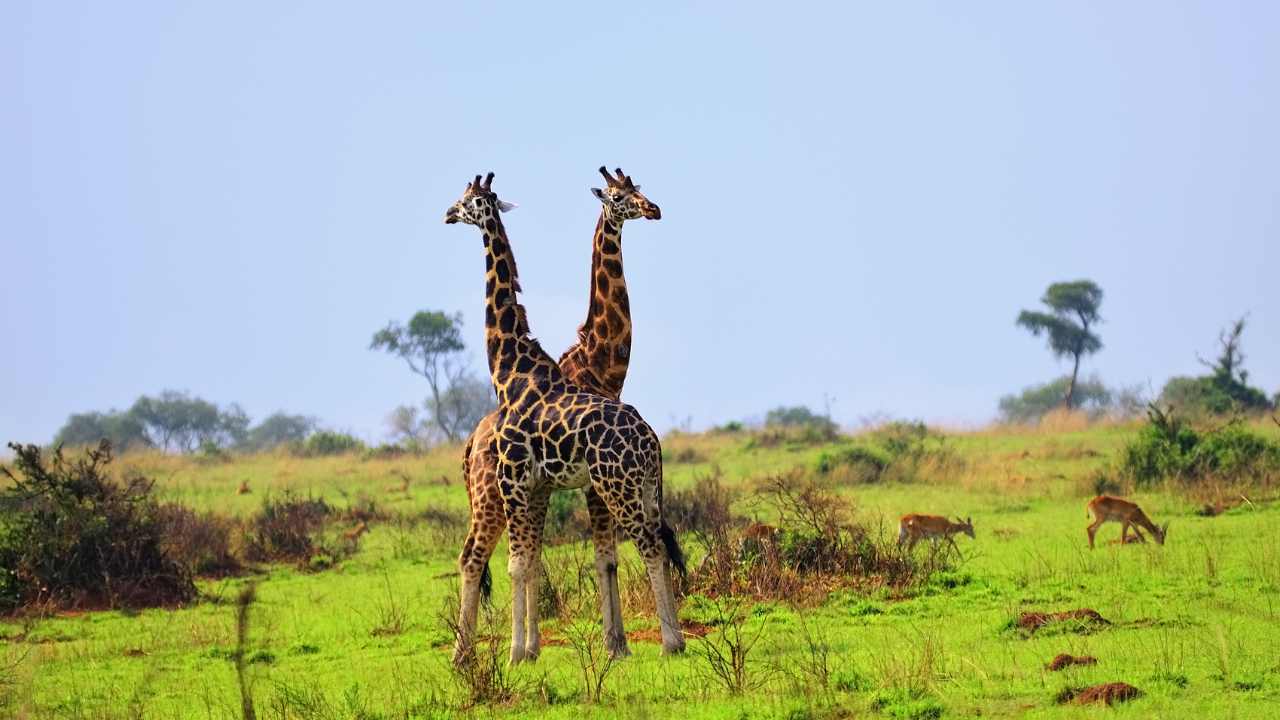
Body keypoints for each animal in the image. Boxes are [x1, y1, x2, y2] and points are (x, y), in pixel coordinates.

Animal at [445, 173, 684, 666]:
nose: (447, 213)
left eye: (468, 201)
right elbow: (537, 561)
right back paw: (464, 654)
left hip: (612, 488)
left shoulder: (527, 483)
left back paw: (672, 641)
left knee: (650, 545)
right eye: (621, 195)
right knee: (472, 557)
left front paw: (525, 652)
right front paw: (535, 648)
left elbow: (539, 562)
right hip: (618, 490)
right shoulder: (536, 487)